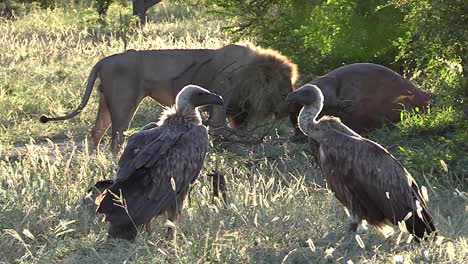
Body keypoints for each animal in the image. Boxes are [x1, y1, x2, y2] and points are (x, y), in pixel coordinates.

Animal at [39, 43, 296, 153]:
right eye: (284, 92)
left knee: (97, 132)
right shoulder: (222, 103)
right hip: (124, 103)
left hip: (105, 102)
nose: (290, 107)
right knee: (116, 137)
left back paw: (94, 160)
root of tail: (103, 61)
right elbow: (223, 131)